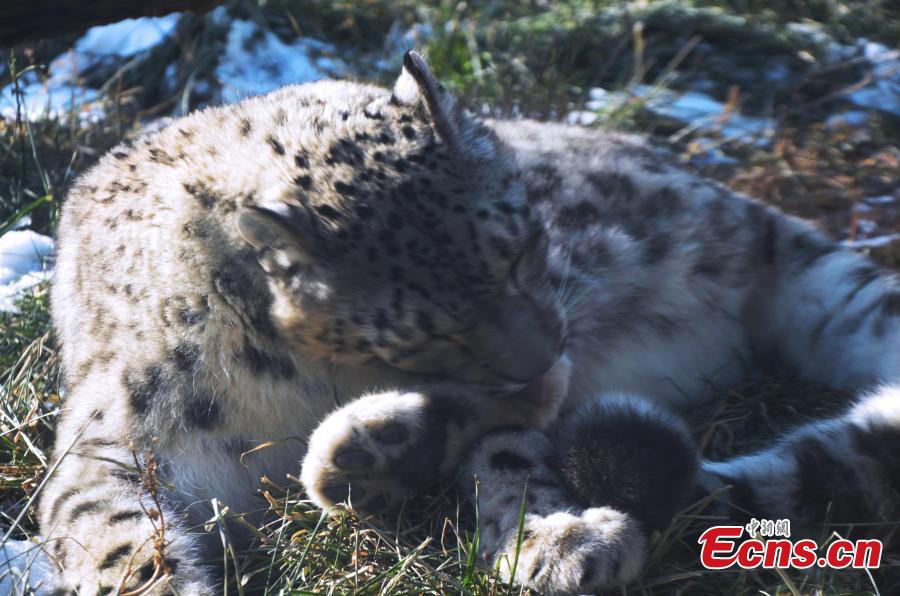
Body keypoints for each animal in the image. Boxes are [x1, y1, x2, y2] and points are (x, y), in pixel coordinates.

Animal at [39, 51, 900, 594]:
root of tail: (739, 202)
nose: (548, 361)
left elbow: (512, 454)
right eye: (426, 330)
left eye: (521, 248)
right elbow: (110, 535)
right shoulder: (122, 442)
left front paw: (552, 538)